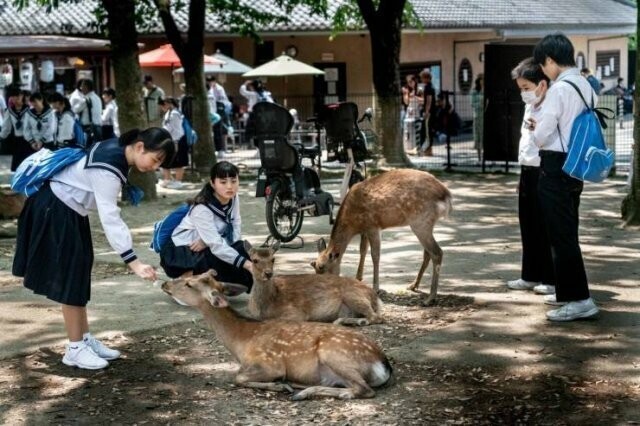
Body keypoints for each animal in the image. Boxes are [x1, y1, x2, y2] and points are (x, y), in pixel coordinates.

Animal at [161, 270, 390, 400]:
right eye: (191, 277)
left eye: (189, 284)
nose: (165, 283)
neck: (241, 342)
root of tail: (384, 365)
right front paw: (282, 385)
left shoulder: (270, 363)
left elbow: (238, 377)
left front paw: (278, 385)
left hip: (334, 352)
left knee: (363, 389)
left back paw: (303, 393)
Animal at [246, 243, 382, 326]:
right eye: (254, 260)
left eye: (273, 259)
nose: (268, 273)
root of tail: (375, 297)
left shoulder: (296, 313)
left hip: (353, 295)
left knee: (376, 317)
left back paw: (355, 322)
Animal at [310, 168, 450, 304]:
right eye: (314, 266)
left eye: (322, 267)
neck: (353, 224)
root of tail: (447, 195)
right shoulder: (365, 230)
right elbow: (363, 250)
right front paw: (358, 278)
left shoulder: (373, 226)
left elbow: (375, 255)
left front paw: (375, 288)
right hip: (425, 224)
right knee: (428, 253)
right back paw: (413, 286)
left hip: (420, 221)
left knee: (437, 252)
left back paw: (430, 298)